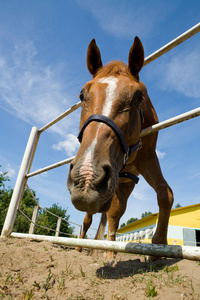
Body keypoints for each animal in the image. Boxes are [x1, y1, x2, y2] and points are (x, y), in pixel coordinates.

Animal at [67, 36, 173, 256]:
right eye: (81, 95)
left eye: (139, 97)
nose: (86, 176)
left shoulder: (147, 158)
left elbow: (164, 193)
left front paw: (159, 245)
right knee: (90, 218)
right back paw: (82, 247)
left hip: (122, 184)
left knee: (113, 213)